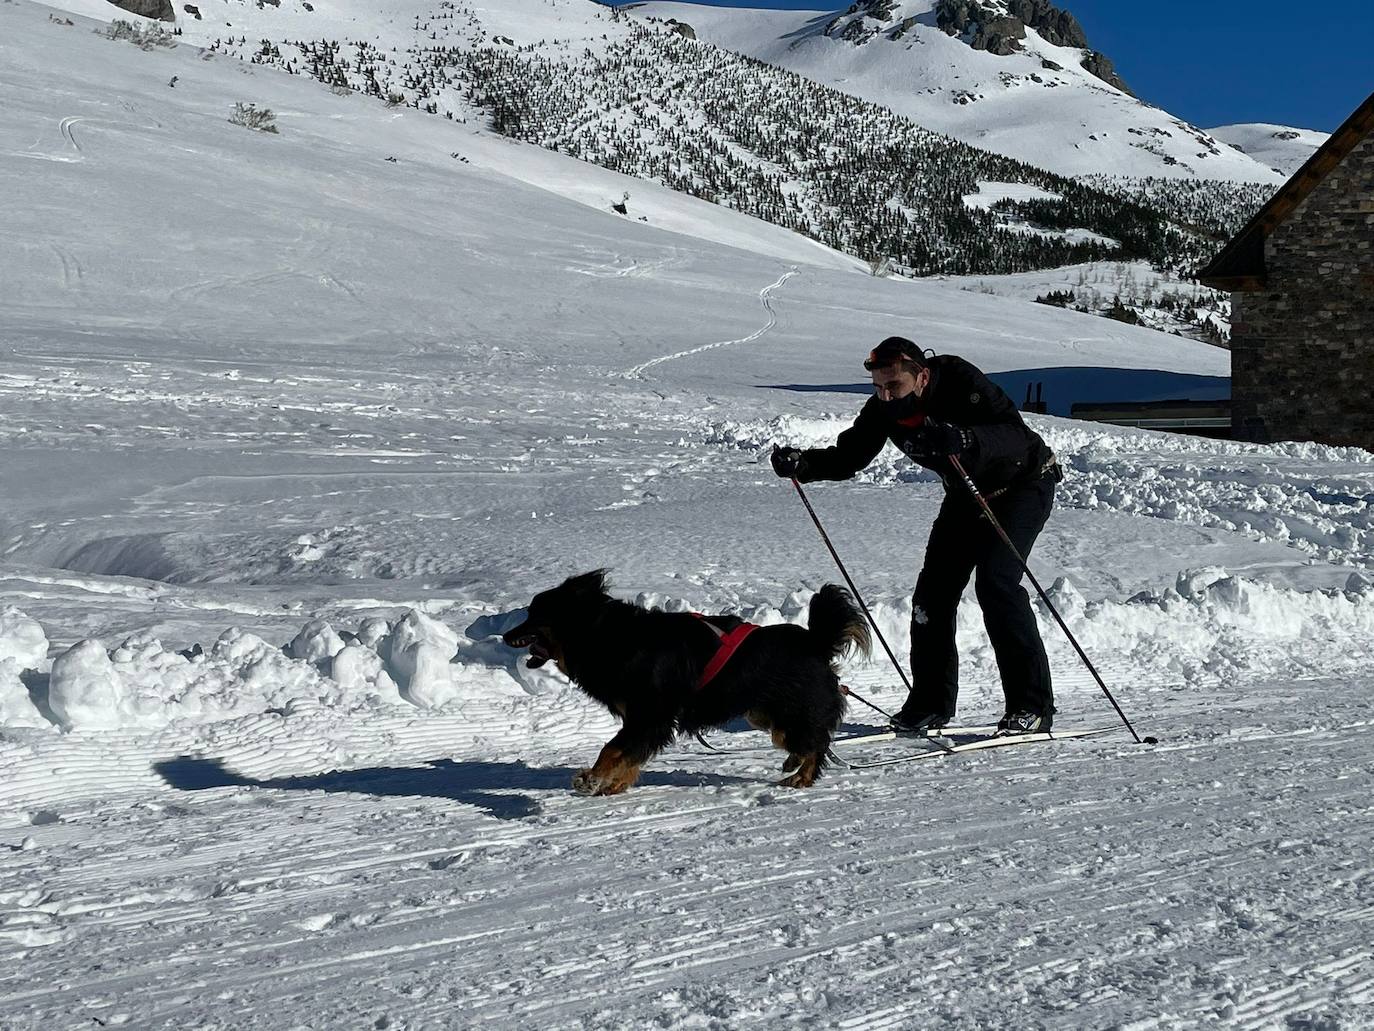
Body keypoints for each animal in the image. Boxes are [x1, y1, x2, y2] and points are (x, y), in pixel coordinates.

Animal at [505, 574, 868, 797]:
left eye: (533, 614)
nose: (506, 635)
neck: (606, 635)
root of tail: (815, 641)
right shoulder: (644, 721)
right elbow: (628, 754)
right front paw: (614, 784)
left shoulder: (649, 716)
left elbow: (612, 749)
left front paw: (590, 780)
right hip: (764, 713)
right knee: (806, 740)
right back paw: (794, 763)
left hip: (793, 708)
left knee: (816, 742)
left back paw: (801, 776)